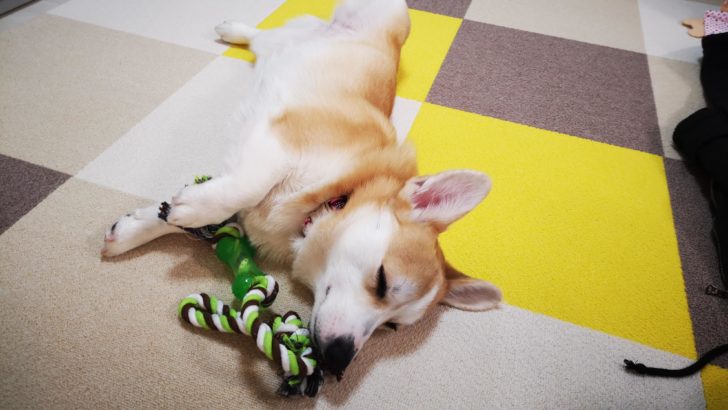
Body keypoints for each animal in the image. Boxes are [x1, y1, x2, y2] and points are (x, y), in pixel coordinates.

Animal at [101, 0, 502, 379]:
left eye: (391, 327)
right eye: (382, 281)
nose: (337, 361)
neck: (332, 201)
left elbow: (181, 211)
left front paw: (133, 229)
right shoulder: (276, 142)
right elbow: (241, 189)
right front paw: (185, 211)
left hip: (284, 44)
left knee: (265, 36)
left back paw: (234, 30)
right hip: (394, 13)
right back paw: (233, 27)